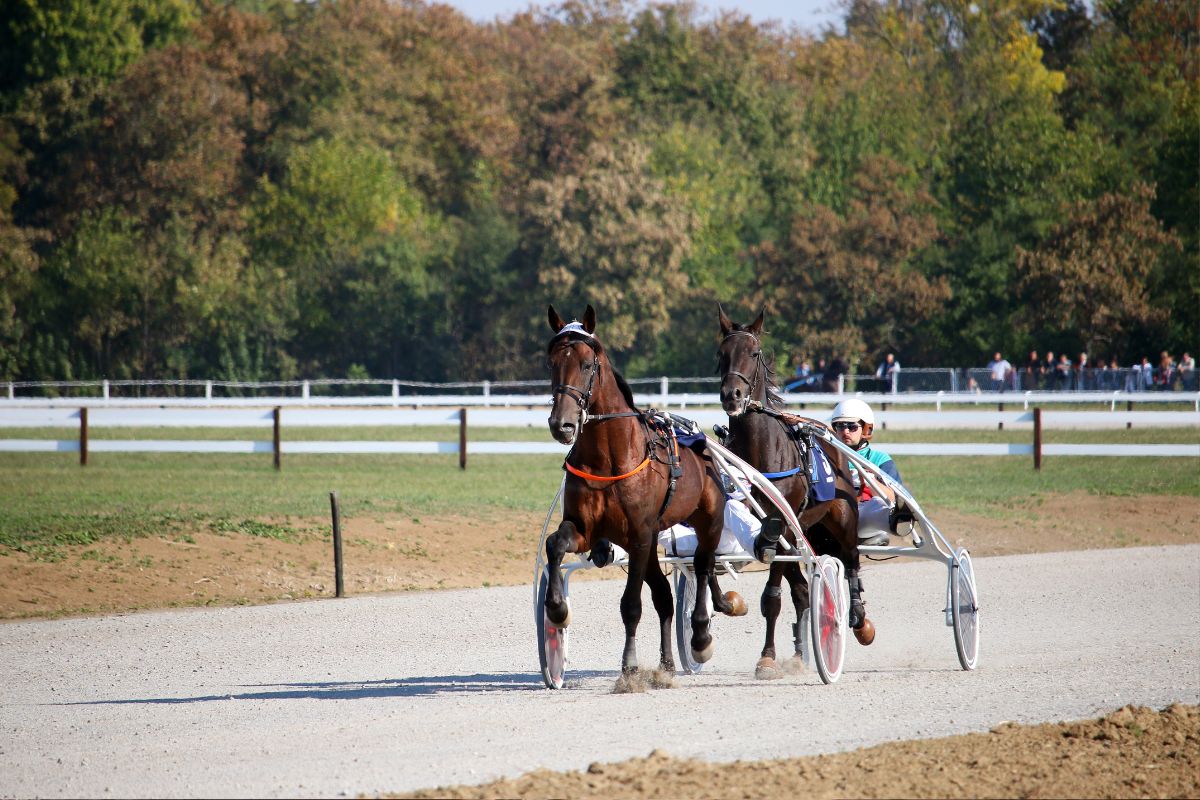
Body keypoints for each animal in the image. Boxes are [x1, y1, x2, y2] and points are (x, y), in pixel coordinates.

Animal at [547, 307, 739, 676]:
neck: (609, 460)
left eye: (588, 365)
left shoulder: (638, 534)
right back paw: (666, 663)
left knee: (703, 565)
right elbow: (556, 544)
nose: (561, 424)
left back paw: (700, 637)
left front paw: (630, 663)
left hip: (707, 521)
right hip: (651, 541)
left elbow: (631, 604)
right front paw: (557, 609)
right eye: (551, 362)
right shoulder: (588, 529)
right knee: (664, 595)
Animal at [715, 303, 878, 681]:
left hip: (842, 519)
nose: (731, 395)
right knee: (803, 589)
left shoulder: (782, 523)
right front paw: (775, 656)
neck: (760, 449)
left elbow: (773, 596)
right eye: (721, 353)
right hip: (806, 529)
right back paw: (802, 652)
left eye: (754, 352)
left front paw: (767, 658)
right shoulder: (771, 529)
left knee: (851, 562)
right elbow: (789, 590)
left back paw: (859, 620)